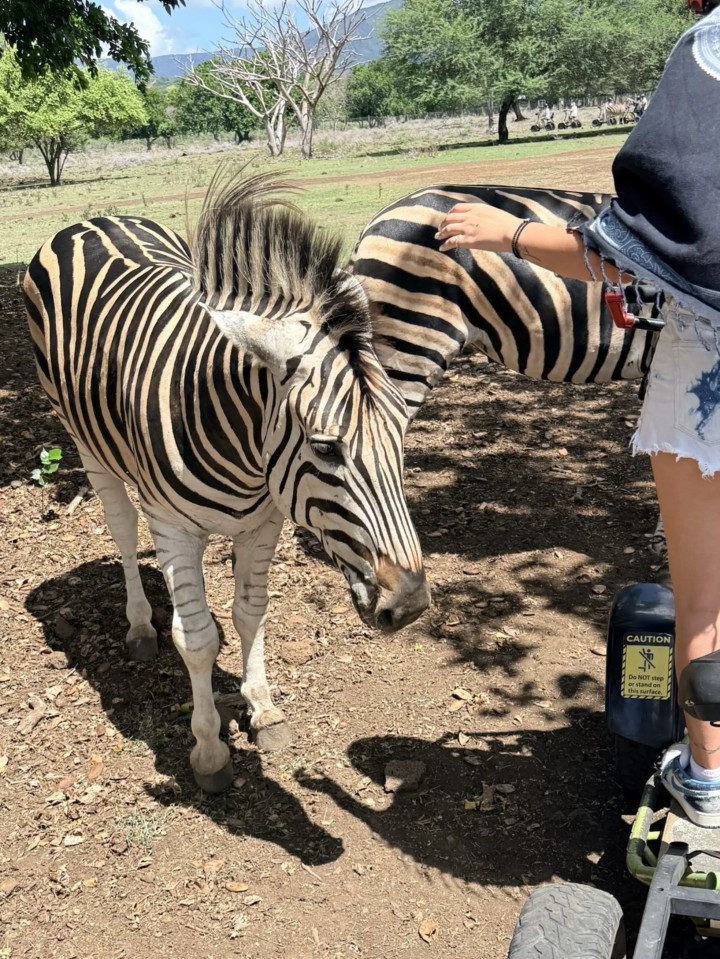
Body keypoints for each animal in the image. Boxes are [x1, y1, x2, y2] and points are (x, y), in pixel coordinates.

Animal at [23, 173, 430, 793]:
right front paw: (210, 750)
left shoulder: (265, 522)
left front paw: (263, 709)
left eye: (402, 439)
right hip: (85, 440)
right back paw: (140, 627)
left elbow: (249, 612)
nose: (410, 606)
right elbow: (196, 639)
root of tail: (95, 218)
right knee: (121, 529)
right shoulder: (172, 528)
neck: (243, 448)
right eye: (325, 447)